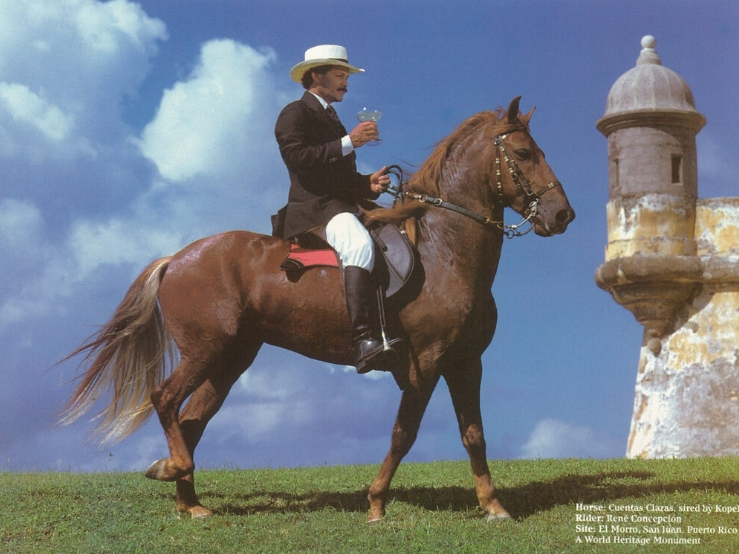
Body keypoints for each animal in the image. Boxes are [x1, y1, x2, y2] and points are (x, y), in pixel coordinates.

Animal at [62, 96, 575, 522]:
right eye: (524, 154)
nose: (563, 216)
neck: (444, 250)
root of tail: (177, 259)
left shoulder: (466, 362)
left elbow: (474, 435)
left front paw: (494, 507)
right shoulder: (425, 364)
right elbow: (403, 433)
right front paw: (376, 505)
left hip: (231, 358)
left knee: (191, 420)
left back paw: (190, 503)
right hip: (206, 349)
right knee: (166, 400)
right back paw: (170, 470)